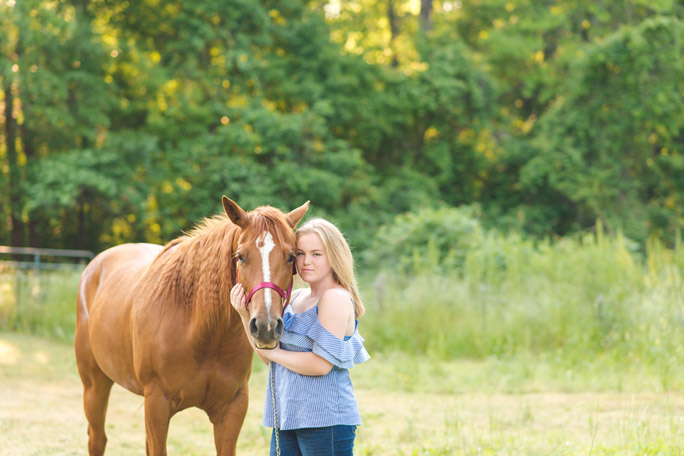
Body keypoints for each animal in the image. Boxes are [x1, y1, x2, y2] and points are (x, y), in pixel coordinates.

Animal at [75, 197, 310, 456]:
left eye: (291, 256)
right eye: (240, 256)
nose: (266, 326)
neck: (201, 333)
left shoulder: (232, 409)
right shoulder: (157, 405)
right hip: (94, 385)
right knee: (97, 439)